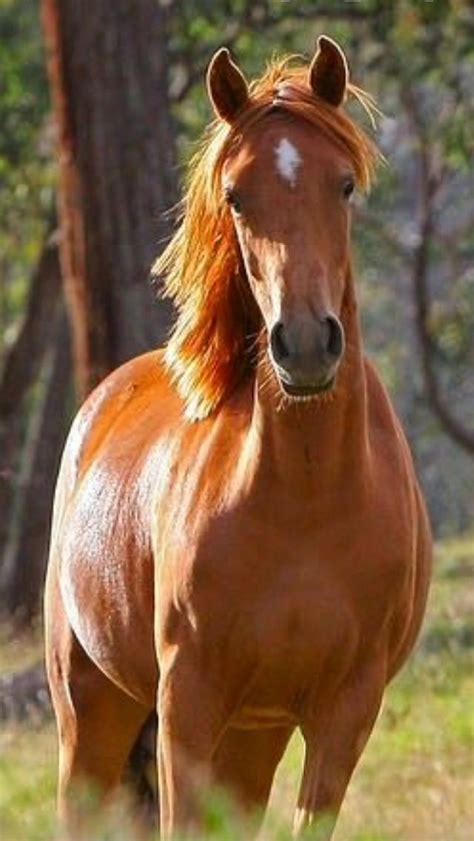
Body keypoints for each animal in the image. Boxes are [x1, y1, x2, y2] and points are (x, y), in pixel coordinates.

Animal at [45, 36, 434, 836]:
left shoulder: (344, 712)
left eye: (343, 186)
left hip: (254, 737)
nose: (306, 344)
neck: (309, 497)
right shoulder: (188, 701)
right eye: (235, 196)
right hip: (93, 712)